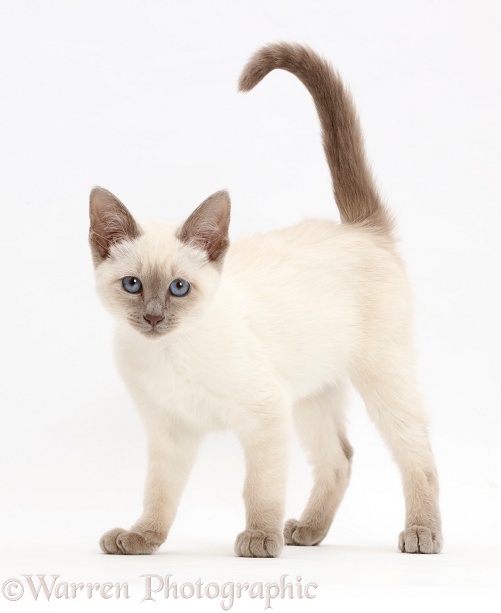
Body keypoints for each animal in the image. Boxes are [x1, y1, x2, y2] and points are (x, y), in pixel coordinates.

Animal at [90, 41, 442, 556]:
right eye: (133, 285)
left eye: (179, 287)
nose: (153, 318)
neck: (168, 353)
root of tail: (360, 228)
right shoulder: (169, 432)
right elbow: (159, 495)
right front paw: (141, 539)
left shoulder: (264, 416)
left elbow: (260, 489)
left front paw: (258, 538)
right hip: (312, 393)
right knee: (340, 458)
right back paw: (308, 532)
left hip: (381, 374)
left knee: (418, 451)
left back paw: (421, 534)